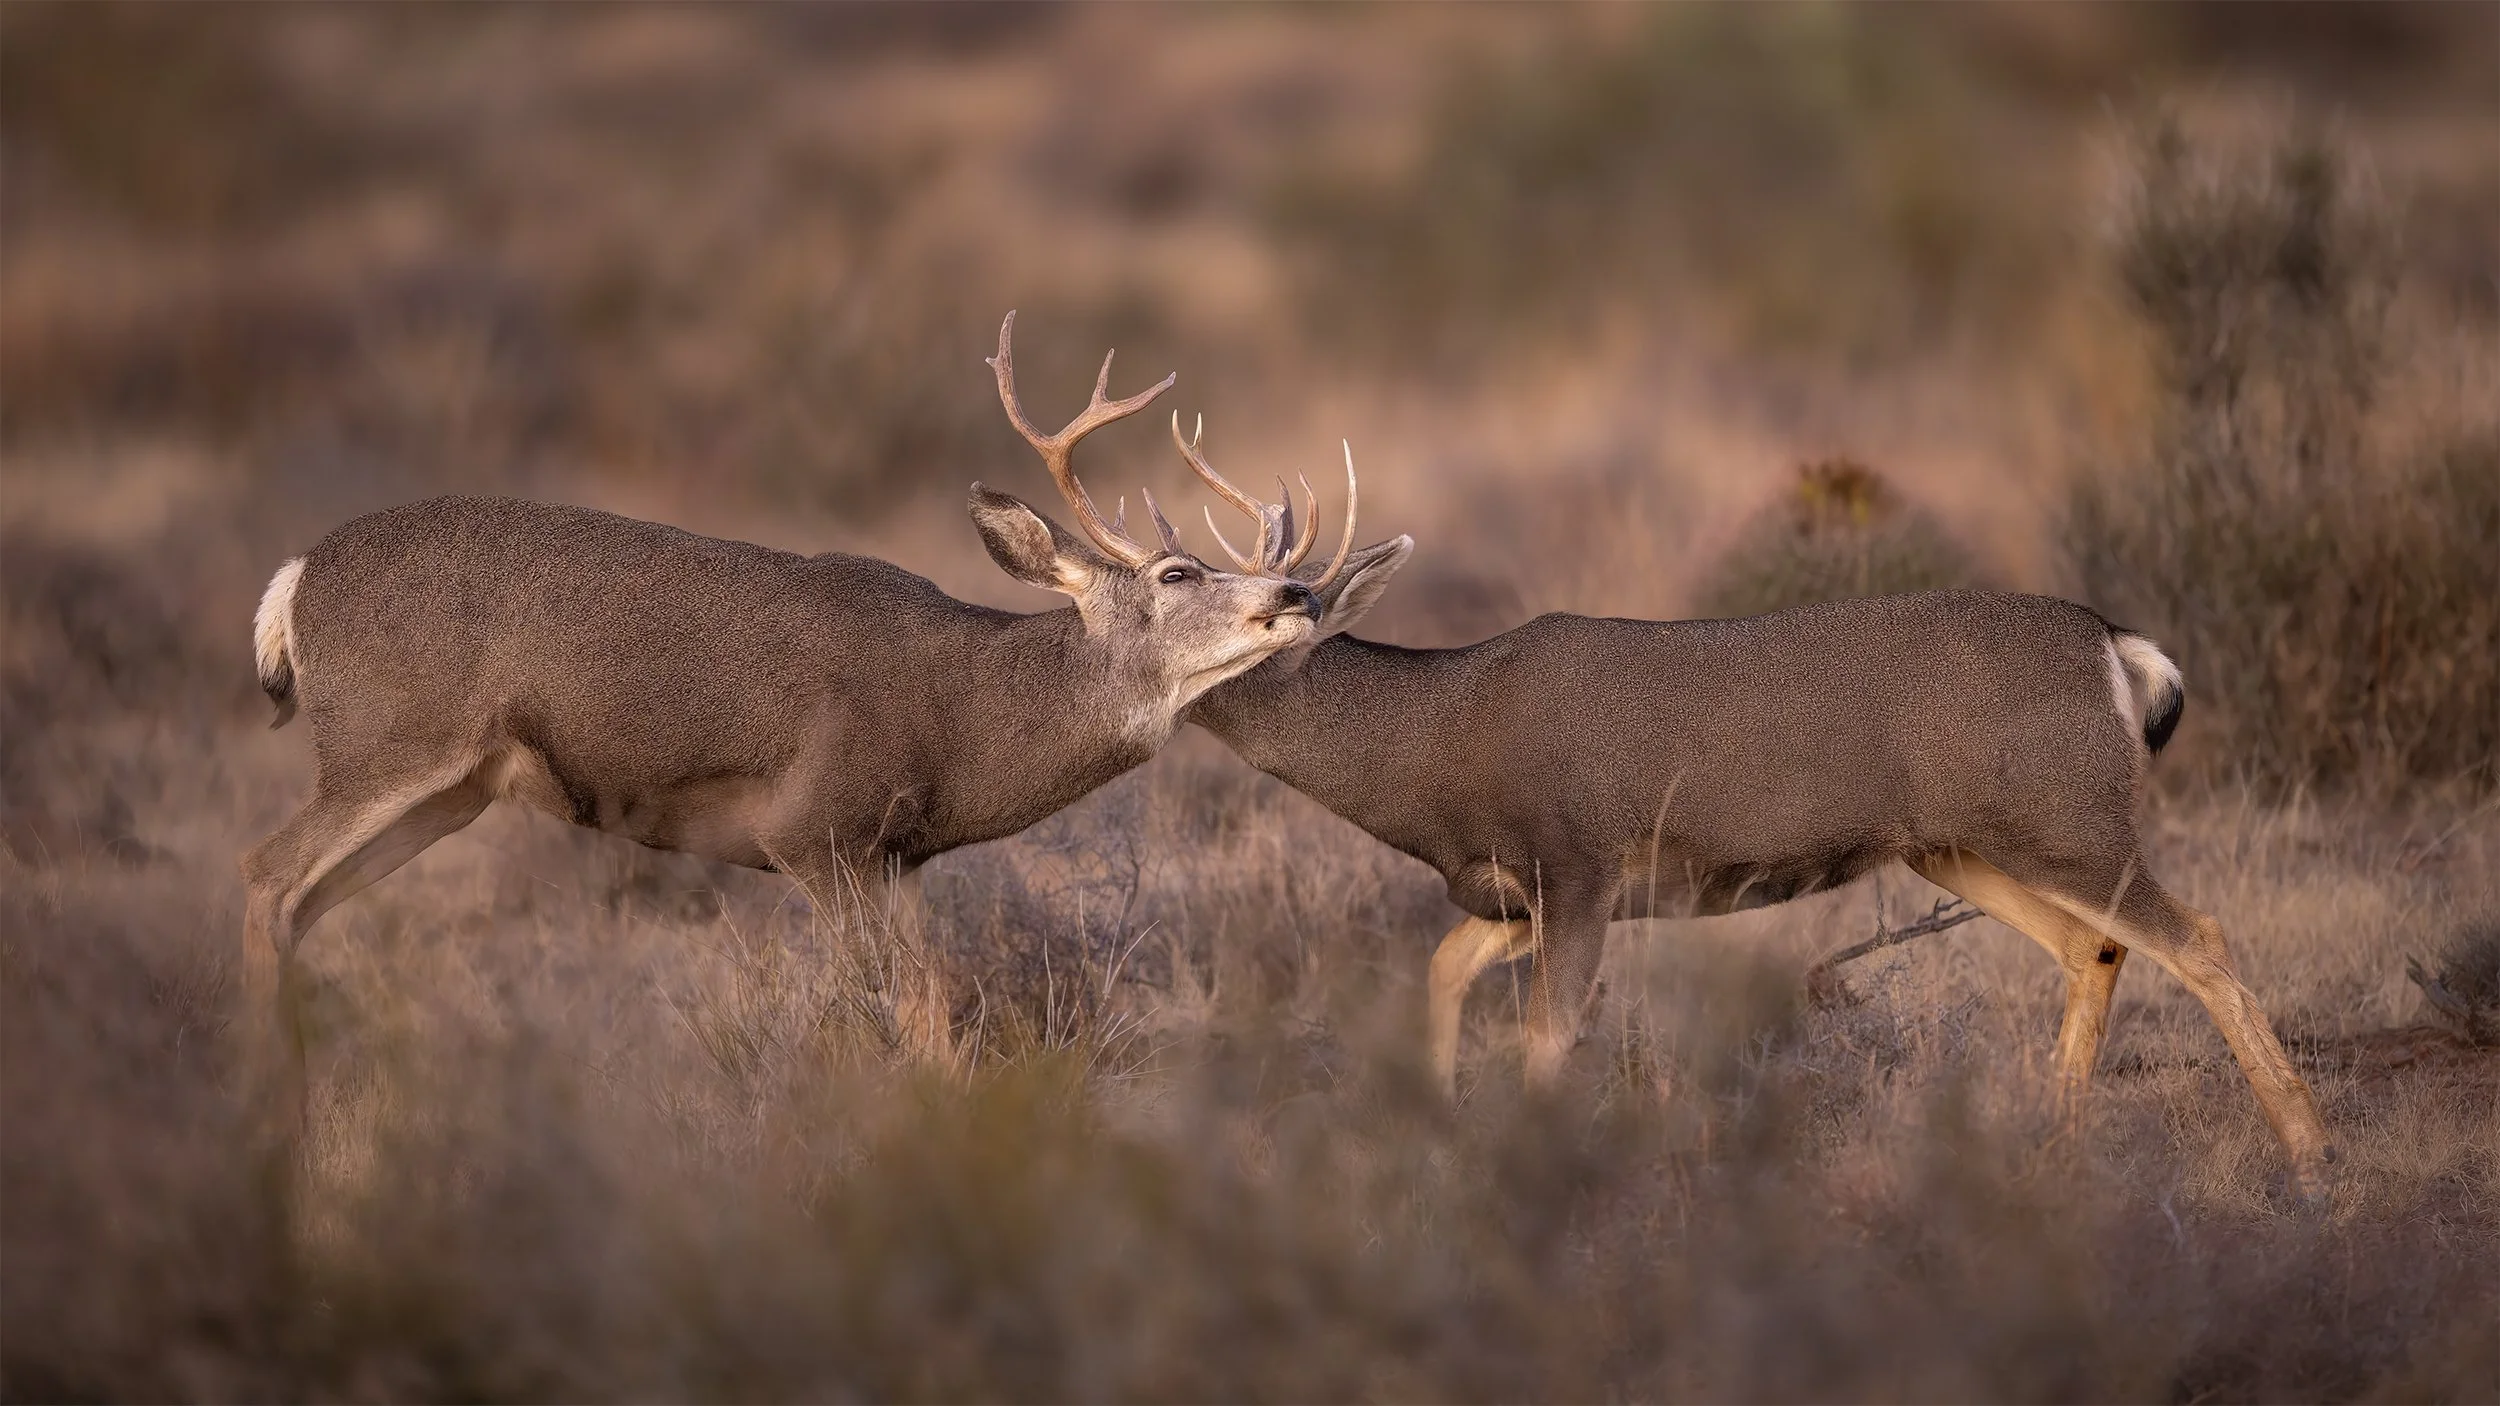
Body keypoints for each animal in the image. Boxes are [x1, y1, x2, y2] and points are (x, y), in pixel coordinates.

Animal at [238, 312, 1347, 1128]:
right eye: (1176, 573)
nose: (1297, 593)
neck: (962, 711)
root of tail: (293, 580)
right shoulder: (813, 827)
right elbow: (889, 1001)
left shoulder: (895, 853)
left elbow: (932, 1000)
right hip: (389, 739)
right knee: (266, 870)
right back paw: (272, 1115)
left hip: (450, 789)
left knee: (303, 900)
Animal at [1170, 426, 2337, 1195]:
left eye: (1257, 614)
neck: (1440, 740)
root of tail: (2114, 645)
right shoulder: (1517, 897)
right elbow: (1443, 970)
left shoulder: (1580, 863)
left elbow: (1547, 1034)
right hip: (1964, 846)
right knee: (2093, 948)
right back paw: (2053, 1146)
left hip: (2067, 818)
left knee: (2196, 934)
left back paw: (2314, 1157)